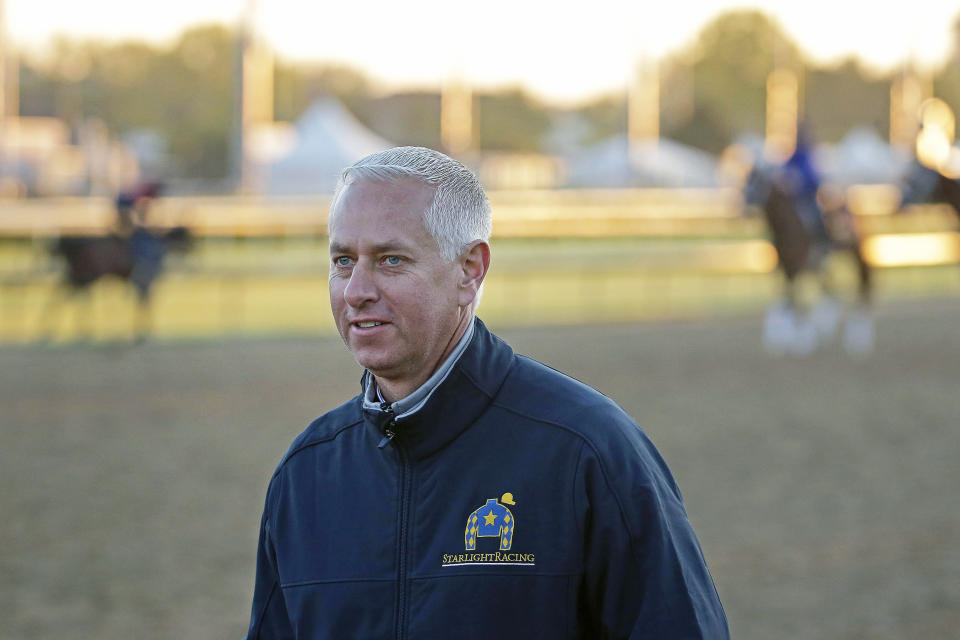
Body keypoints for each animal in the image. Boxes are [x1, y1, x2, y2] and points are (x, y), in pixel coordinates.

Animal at [43, 228, 190, 342]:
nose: (189, 246)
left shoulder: (142, 281)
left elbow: (142, 301)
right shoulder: (145, 280)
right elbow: (144, 302)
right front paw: (142, 332)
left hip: (77, 276)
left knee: (63, 294)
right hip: (86, 276)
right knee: (76, 297)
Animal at [748, 164, 872, 356]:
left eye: (759, 182)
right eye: (746, 181)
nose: (744, 205)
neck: (787, 225)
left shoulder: (796, 266)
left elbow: (794, 300)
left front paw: (799, 341)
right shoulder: (785, 266)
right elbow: (785, 298)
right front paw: (780, 338)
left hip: (856, 252)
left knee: (863, 283)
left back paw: (858, 338)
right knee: (829, 289)